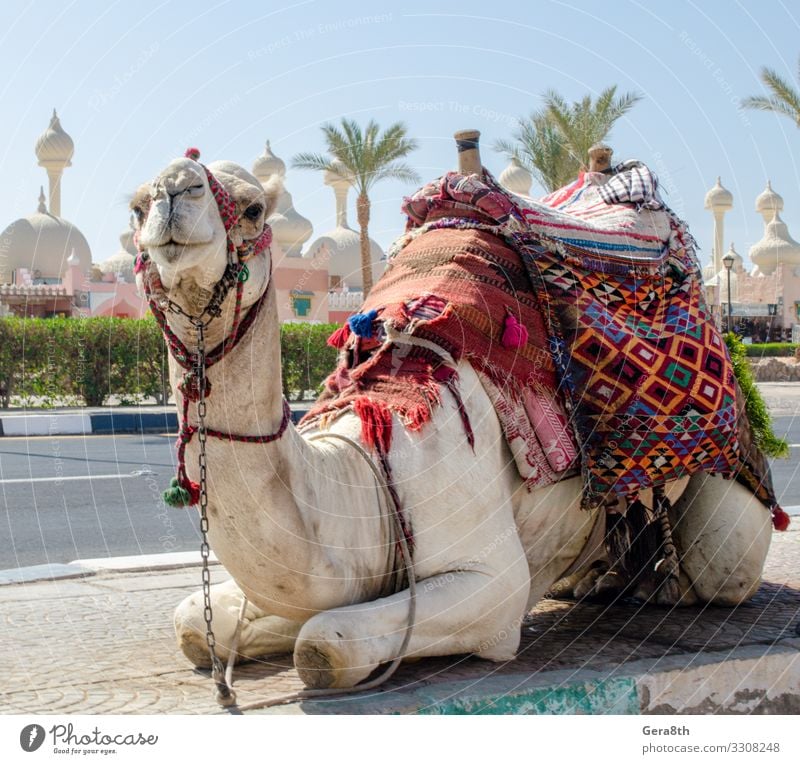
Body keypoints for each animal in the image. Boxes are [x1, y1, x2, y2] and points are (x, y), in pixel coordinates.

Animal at [133, 139, 776, 692]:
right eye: (136, 205)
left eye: (251, 208)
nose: (172, 190)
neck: (367, 471)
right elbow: (196, 624)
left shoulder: (491, 585)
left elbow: (322, 645)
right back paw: (599, 578)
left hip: (727, 497)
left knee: (720, 569)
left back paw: (660, 584)